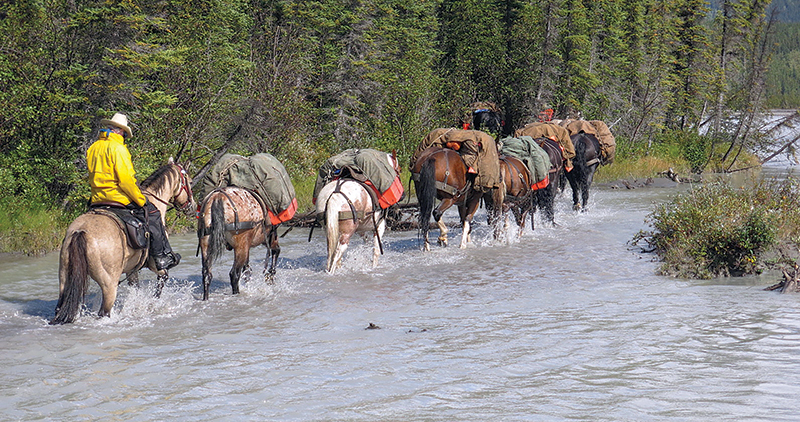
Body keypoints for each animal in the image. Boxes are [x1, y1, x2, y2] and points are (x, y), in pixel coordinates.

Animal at [50, 160, 196, 324]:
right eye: (190, 182)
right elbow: (162, 280)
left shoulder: (132, 269)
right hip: (109, 285)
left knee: (60, 306)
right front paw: (152, 304)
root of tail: (81, 232)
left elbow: (136, 288)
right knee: (104, 312)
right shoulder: (156, 266)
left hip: (64, 278)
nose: (192, 206)